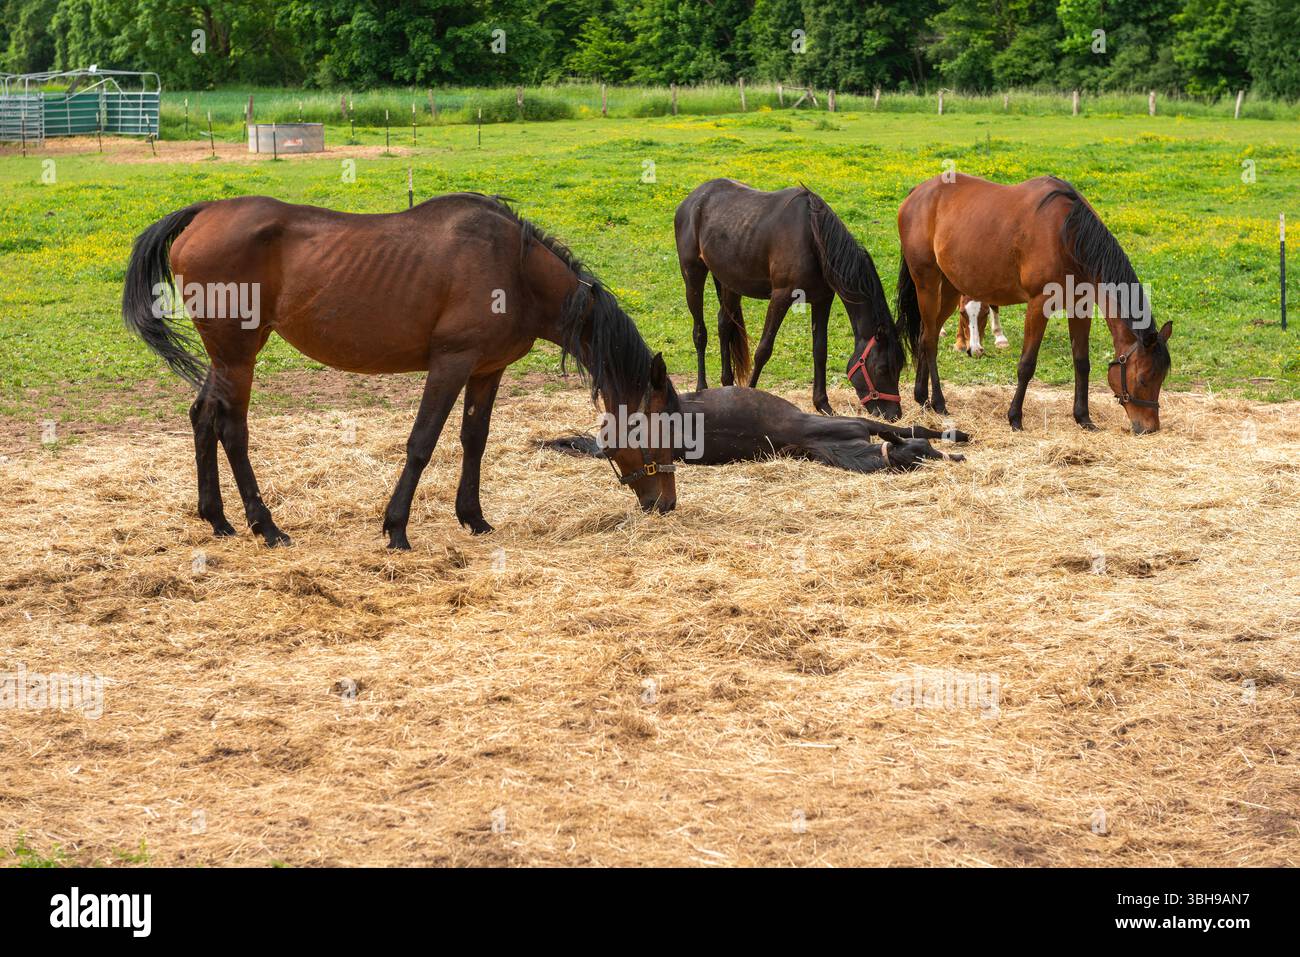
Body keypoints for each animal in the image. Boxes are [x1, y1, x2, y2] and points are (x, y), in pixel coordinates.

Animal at [121, 193, 680, 549]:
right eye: (660, 432)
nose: (666, 504)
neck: (515, 270)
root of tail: (203, 213)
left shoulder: (487, 370)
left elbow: (474, 439)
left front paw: (473, 517)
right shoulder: (450, 364)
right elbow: (422, 443)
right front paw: (396, 529)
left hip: (225, 357)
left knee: (203, 417)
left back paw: (218, 520)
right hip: (238, 356)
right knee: (232, 429)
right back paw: (267, 527)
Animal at [674, 179, 905, 419]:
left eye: (900, 367)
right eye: (882, 369)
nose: (894, 414)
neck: (815, 238)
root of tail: (693, 199)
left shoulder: (822, 300)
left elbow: (820, 350)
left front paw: (822, 404)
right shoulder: (781, 297)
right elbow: (763, 350)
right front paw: (751, 395)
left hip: (730, 282)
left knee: (724, 324)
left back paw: (727, 385)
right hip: (693, 275)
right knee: (700, 333)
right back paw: (701, 387)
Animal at [896, 174, 1173, 433]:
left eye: (1161, 379)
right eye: (1143, 379)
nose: (1150, 427)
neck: (1067, 236)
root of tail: (917, 193)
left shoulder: (1080, 305)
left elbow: (1082, 362)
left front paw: (1083, 417)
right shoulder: (1039, 305)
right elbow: (1026, 365)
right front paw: (1015, 417)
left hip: (951, 288)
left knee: (926, 334)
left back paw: (922, 399)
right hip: (927, 283)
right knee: (929, 342)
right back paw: (939, 402)